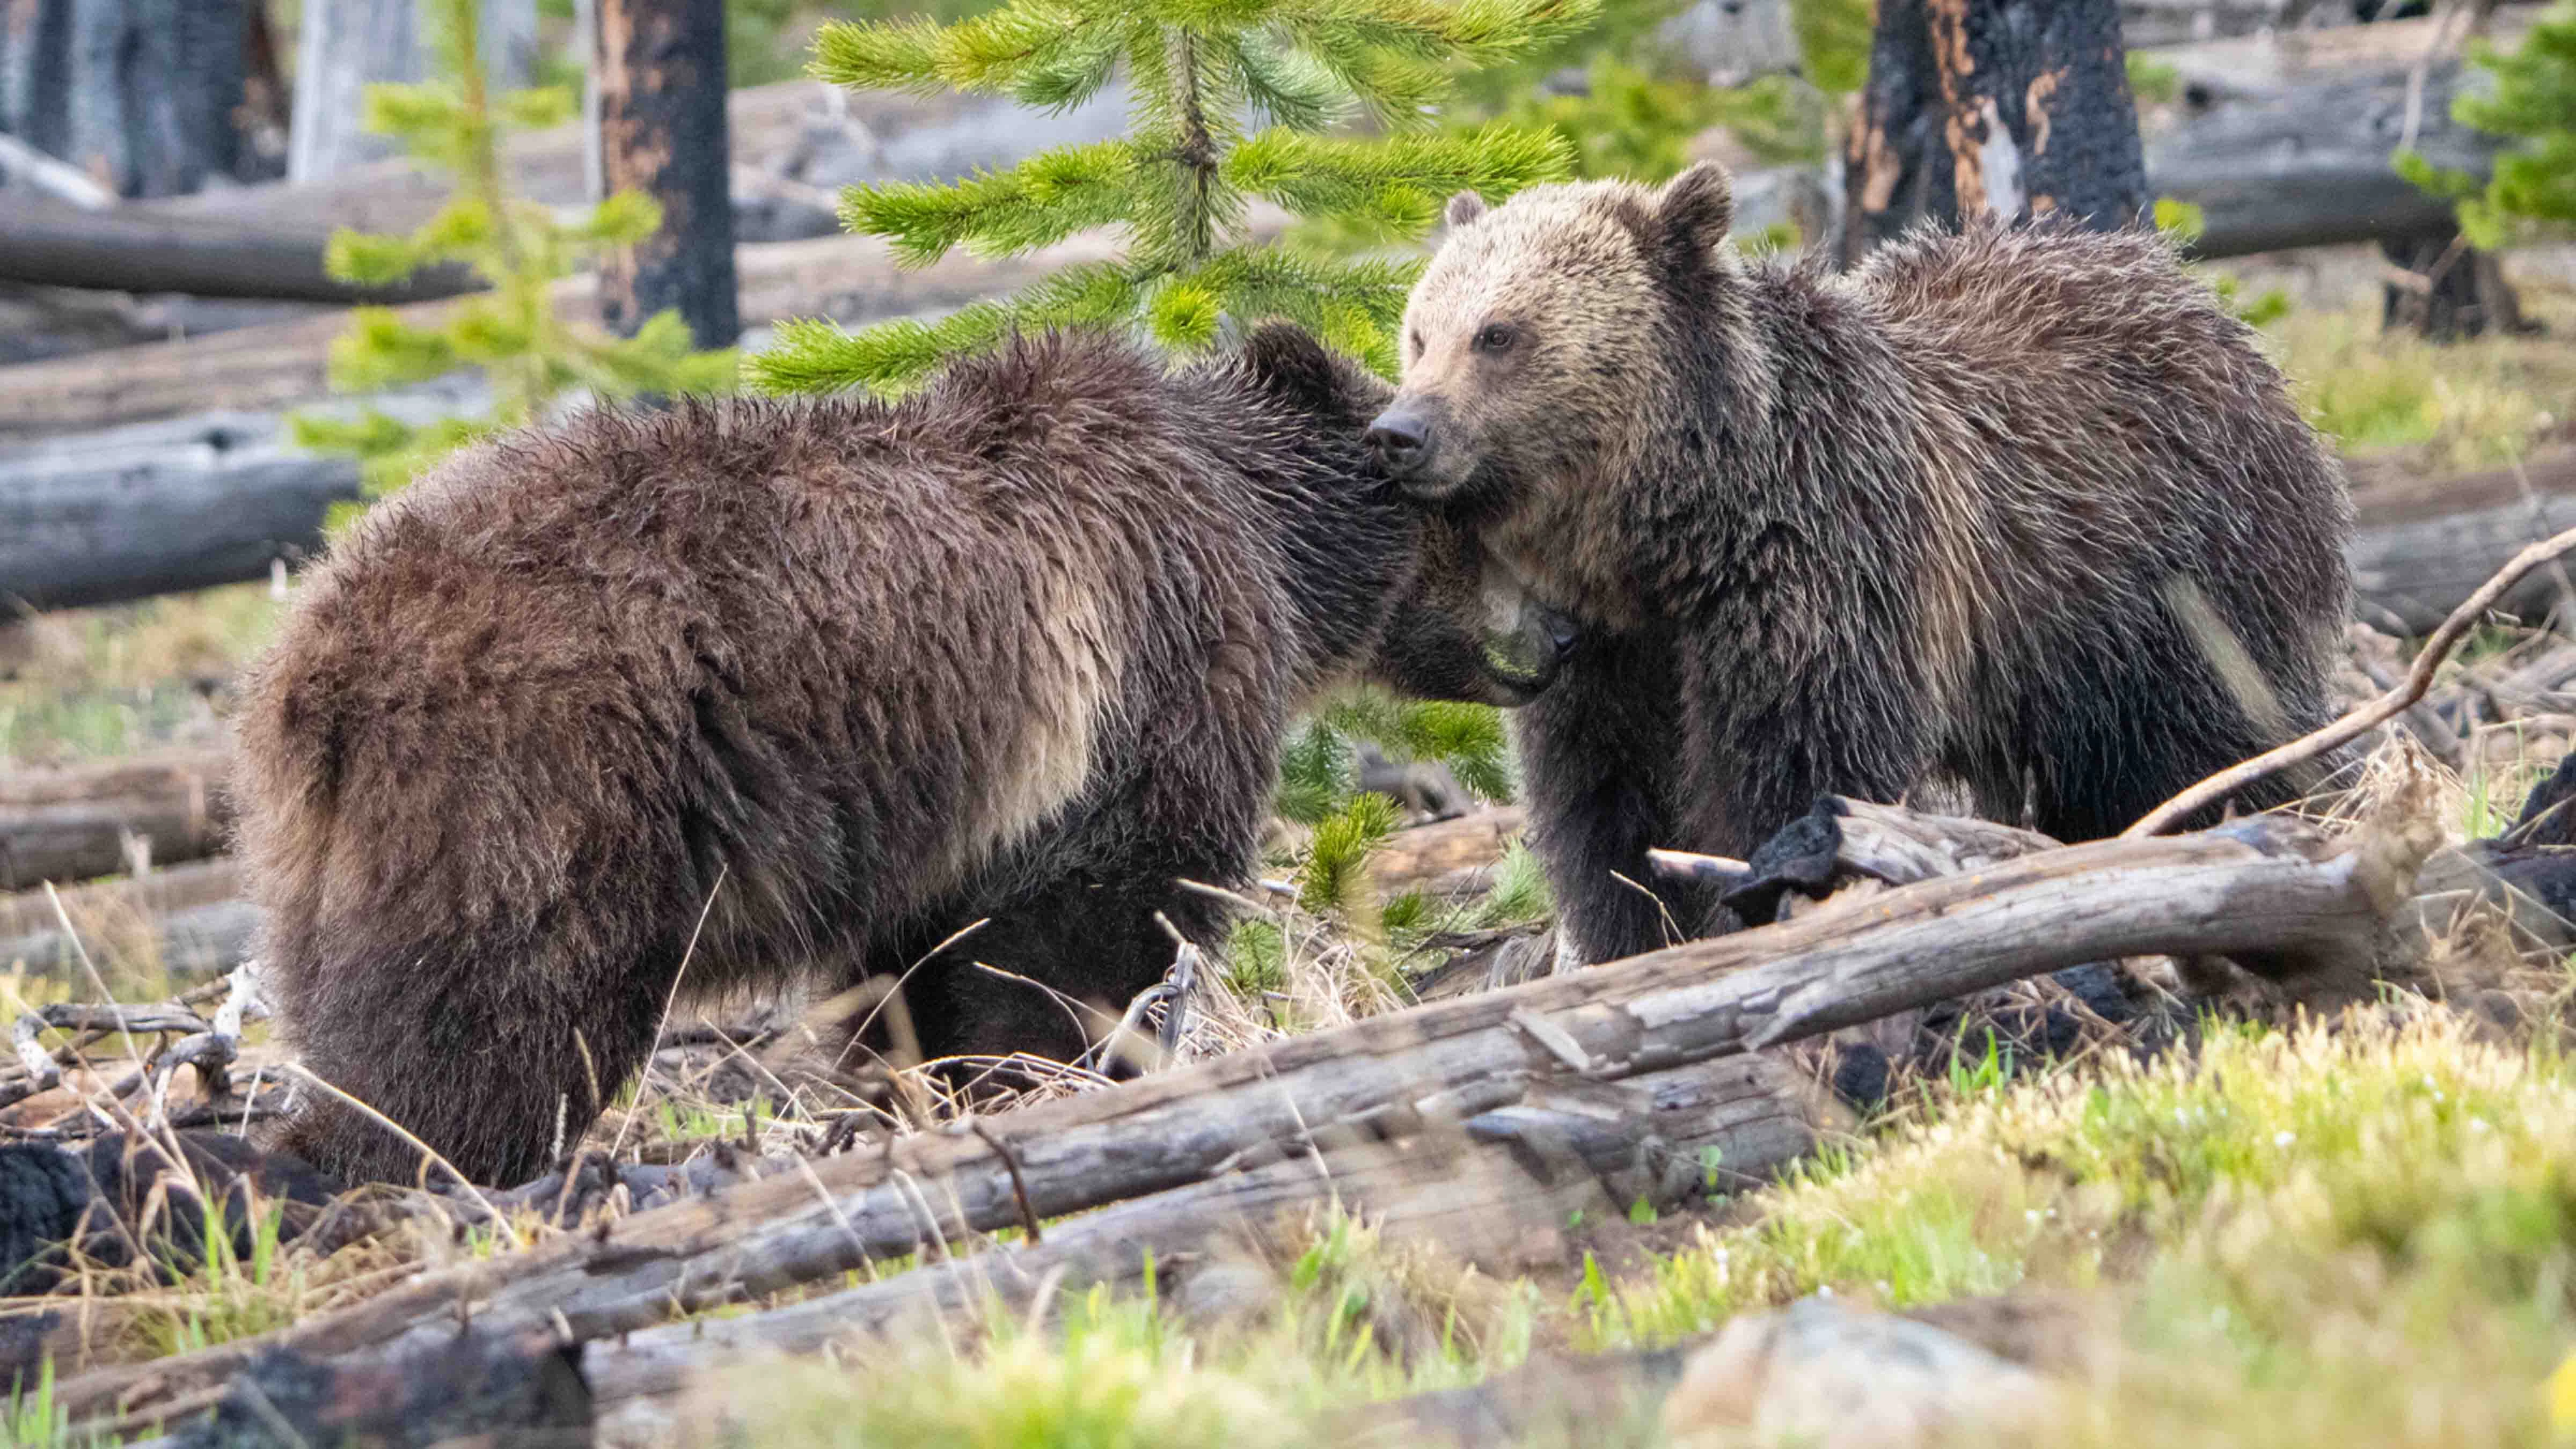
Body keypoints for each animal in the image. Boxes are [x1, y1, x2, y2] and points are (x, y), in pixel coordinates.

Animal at [232, 322, 1563, 1188]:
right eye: (1485, 513)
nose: (1557, 641)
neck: (1265, 538)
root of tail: (322, 665)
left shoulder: (939, 813)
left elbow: (913, 970)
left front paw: (912, 1097)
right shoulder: (1136, 691)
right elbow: (1086, 931)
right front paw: (1060, 1076)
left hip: (313, 848)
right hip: (542, 784)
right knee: (485, 1020)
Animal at [1364, 161, 2355, 966]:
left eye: (1499, 334)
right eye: (1420, 331)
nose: (1399, 433)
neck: (1669, 535)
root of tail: (2208, 303)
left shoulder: (1821, 562)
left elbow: (1802, 764)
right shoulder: (1605, 650)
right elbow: (1607, 812)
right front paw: (1639, 934)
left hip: (2172, 585)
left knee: (2206, 741)